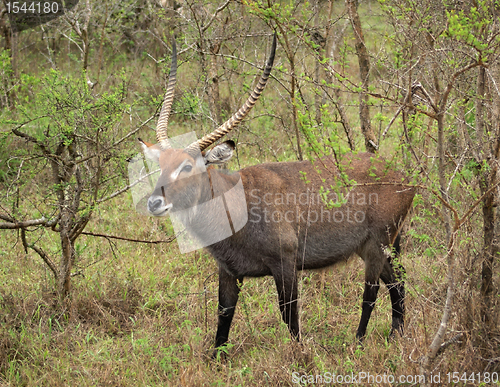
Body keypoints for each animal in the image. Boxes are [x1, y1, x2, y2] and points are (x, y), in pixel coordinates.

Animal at [137, 36, 414, 354]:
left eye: (186, 166)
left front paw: (299, 355)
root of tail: (404, 176)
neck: (235, 203)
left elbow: (289, 315)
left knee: (371, 293)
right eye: (160, 165)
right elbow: (224, 316)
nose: (154, 203)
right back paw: (395, 335)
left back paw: (357, 343)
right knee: (397, 283)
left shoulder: (286, 264)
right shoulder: (228, 270)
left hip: (377, 245)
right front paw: (217, 359)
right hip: (374, 247)